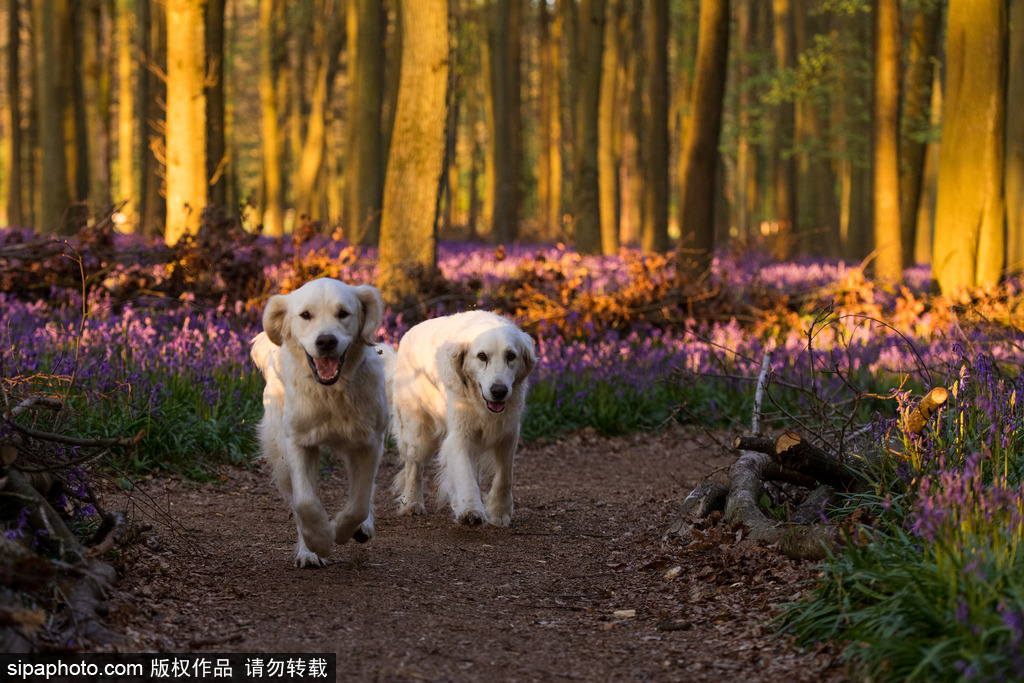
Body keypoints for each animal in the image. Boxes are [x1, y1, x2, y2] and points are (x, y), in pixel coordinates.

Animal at [250, 274, 387, 569]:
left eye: (343, 313)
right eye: (305, 315)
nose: (326, 341)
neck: (331, 393)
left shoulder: (369, 443)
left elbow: (359, 502)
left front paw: (344, 530)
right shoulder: (298, 442)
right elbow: (305, 503)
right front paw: (320, 541)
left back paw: (363, 528)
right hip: (279, 452)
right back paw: (309, 552)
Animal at [385, 311, 536, 528]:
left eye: (511, 356)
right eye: (482, 356)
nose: (499, 391)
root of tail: (406, 336)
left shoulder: (508, 433)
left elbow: (504, 477)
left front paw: (499, 512)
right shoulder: (460, 436)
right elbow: (464, 473)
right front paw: (470, 509)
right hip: (417, 434)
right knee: (414, 466)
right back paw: (412, 503)